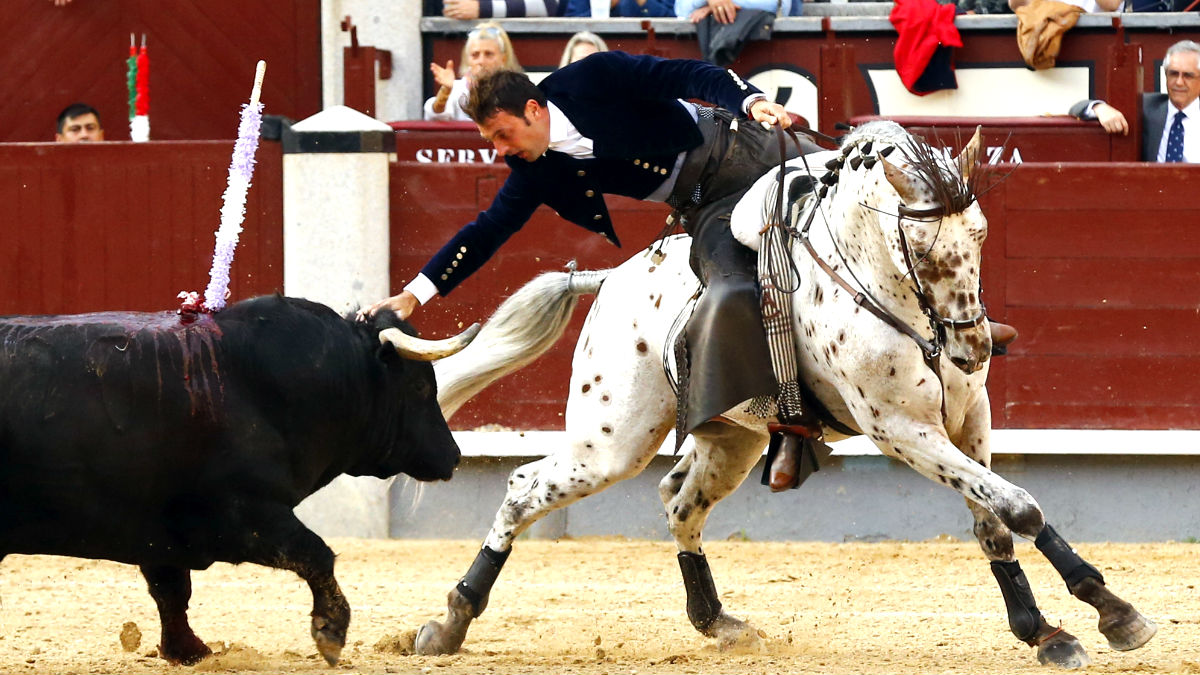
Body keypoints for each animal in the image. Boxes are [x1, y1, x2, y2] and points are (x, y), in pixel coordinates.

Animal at [0, 294, 468, 662]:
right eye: (420, 387)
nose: (454, 456)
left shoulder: (158, 530)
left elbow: (172, 591)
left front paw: (188, 651)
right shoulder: (245, 515)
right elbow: (315, 553)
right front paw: (331, 632)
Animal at [420, 119, 1152, 662]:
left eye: (980, 234)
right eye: (920, 249)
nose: (973, 348)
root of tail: (608, 279)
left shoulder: (970, 415)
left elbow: (994, 518)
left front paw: (1052, 627)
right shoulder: (902, 429)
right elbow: (1020, 506)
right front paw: (1106, 609)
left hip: (729, 440)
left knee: (680, 502)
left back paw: (717, 621)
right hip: (611, 440)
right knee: (527, 488)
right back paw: (450, 619)